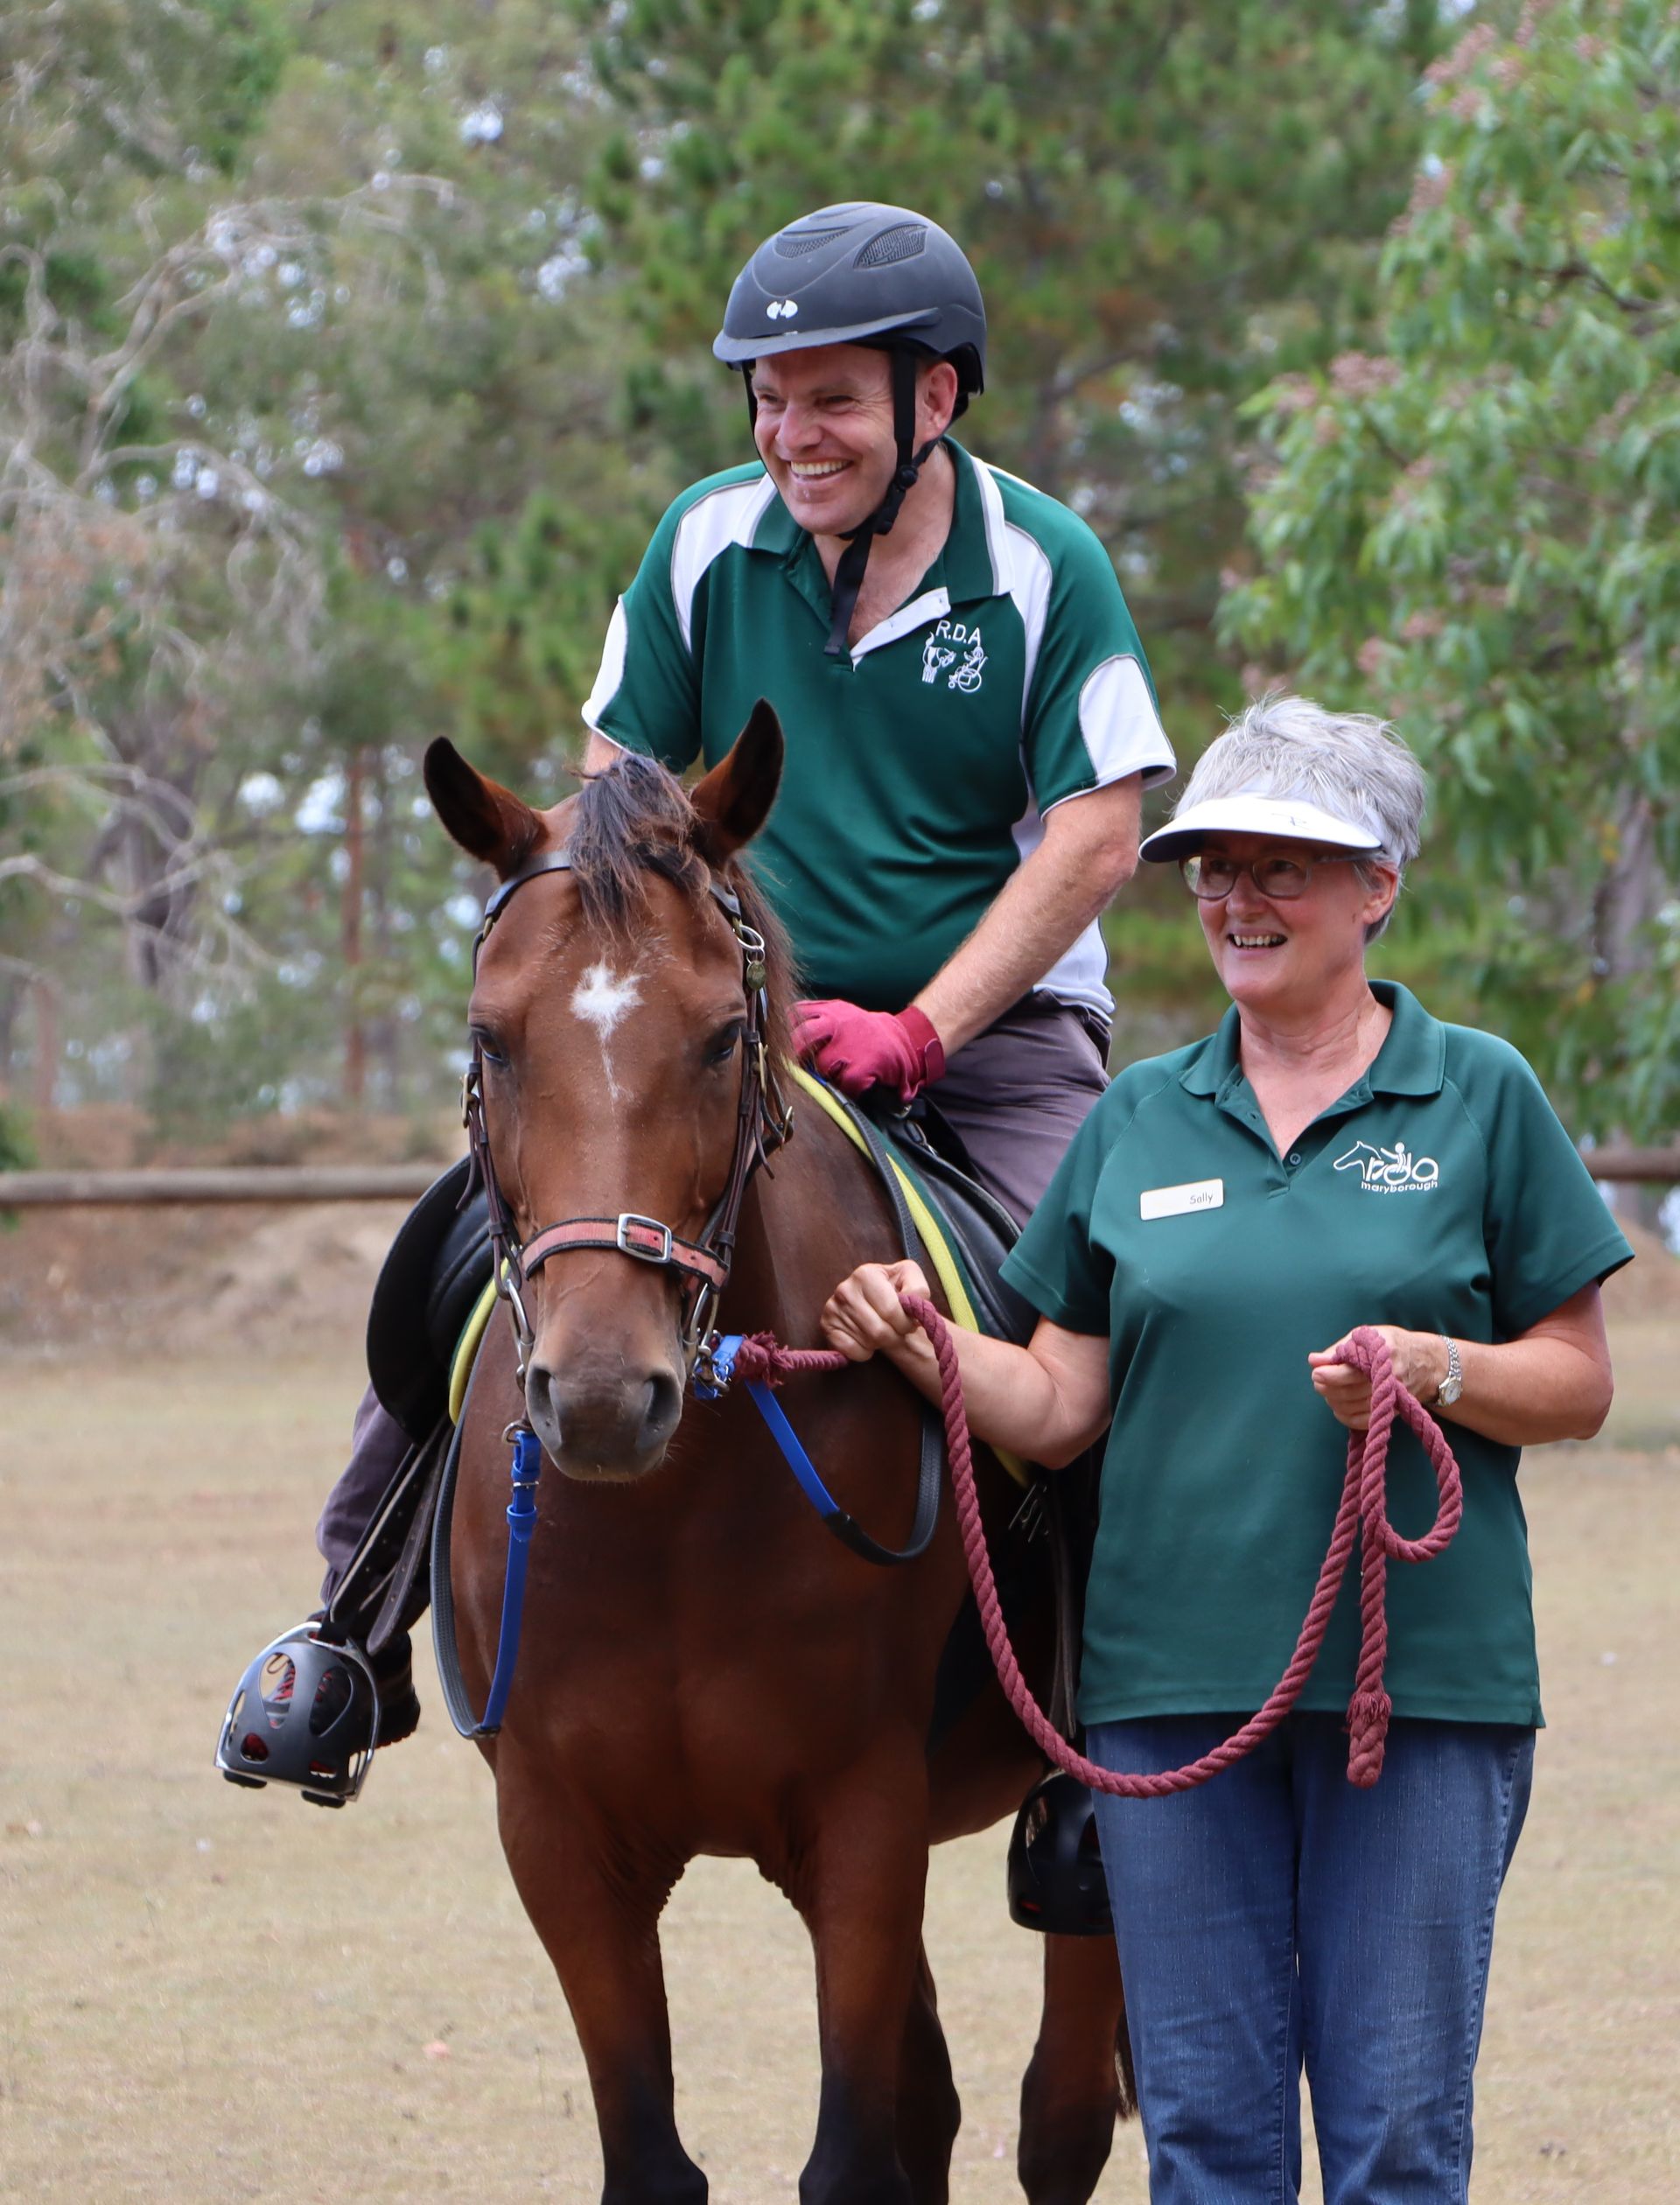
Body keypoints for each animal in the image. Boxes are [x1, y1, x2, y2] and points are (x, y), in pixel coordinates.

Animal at [425, 701, 1130, 2205]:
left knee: (1060, 2117)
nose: (600, 1395)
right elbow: (661, 2157)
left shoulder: (862, 1825)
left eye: (712, 1040)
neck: (670, 1521)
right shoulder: (560, 1841)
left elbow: (856, 2153)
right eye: (491, 1039)